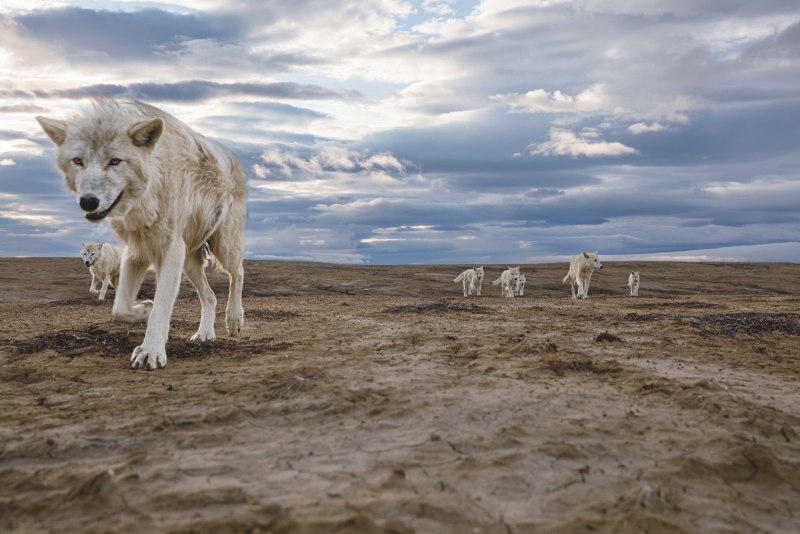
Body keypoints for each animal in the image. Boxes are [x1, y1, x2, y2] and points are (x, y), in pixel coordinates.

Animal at [38, 99, 248, 370]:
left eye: (115, 161)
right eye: (77, 161)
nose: (88, 202)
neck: (147, 195)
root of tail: (232, 159)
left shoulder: (170, 250)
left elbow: (161, 309)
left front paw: (150, 352)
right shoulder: (136, 252)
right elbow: (120, 308)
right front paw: (144, 309)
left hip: (223, 247)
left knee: (238, 273)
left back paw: (234, 319)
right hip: (190, 264)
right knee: (210, 296)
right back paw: (204, 334)